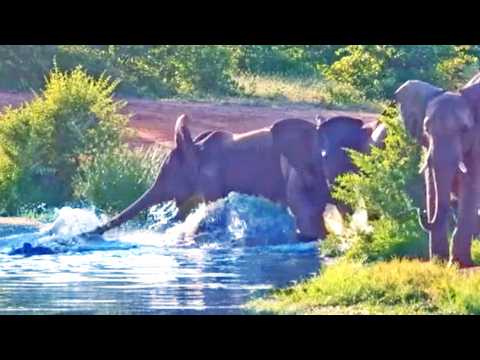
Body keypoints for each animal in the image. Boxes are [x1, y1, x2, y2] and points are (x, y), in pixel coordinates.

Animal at [394, 75, 480, 268]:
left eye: (465, 130)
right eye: (426, 129)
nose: (422, 212)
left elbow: (470, 186)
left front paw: (459, 264)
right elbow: (431, 184)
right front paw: (438, 263)